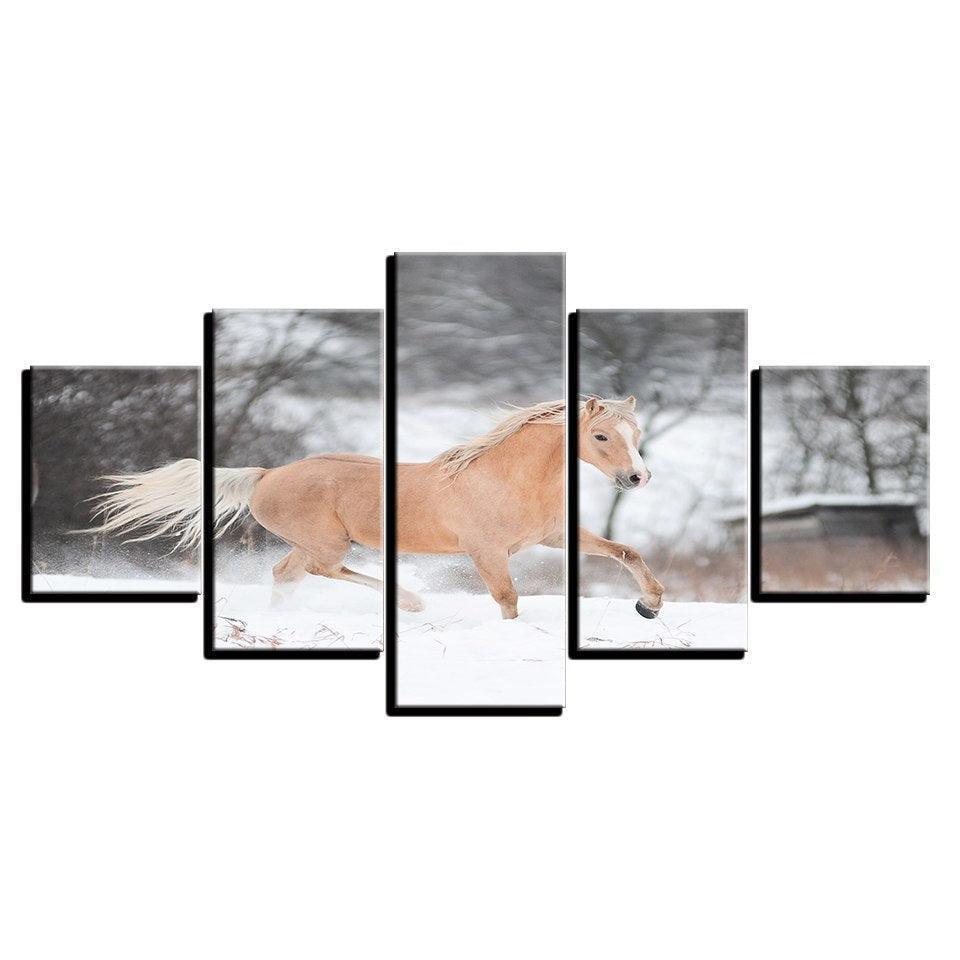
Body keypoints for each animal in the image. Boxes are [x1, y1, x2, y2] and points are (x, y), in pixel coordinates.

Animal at [89, 397, 665, 619]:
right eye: (601, 436)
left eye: (636, 434)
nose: (637, 478)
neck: (505, 477)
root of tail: (266, 475)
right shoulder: (487, 553)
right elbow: (508, 599)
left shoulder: (555, 537)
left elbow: (627, 552)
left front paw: (650, 605)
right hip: (328, 542)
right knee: (320, 570)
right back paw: (409, 601)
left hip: (311, 543)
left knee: (286, 573)